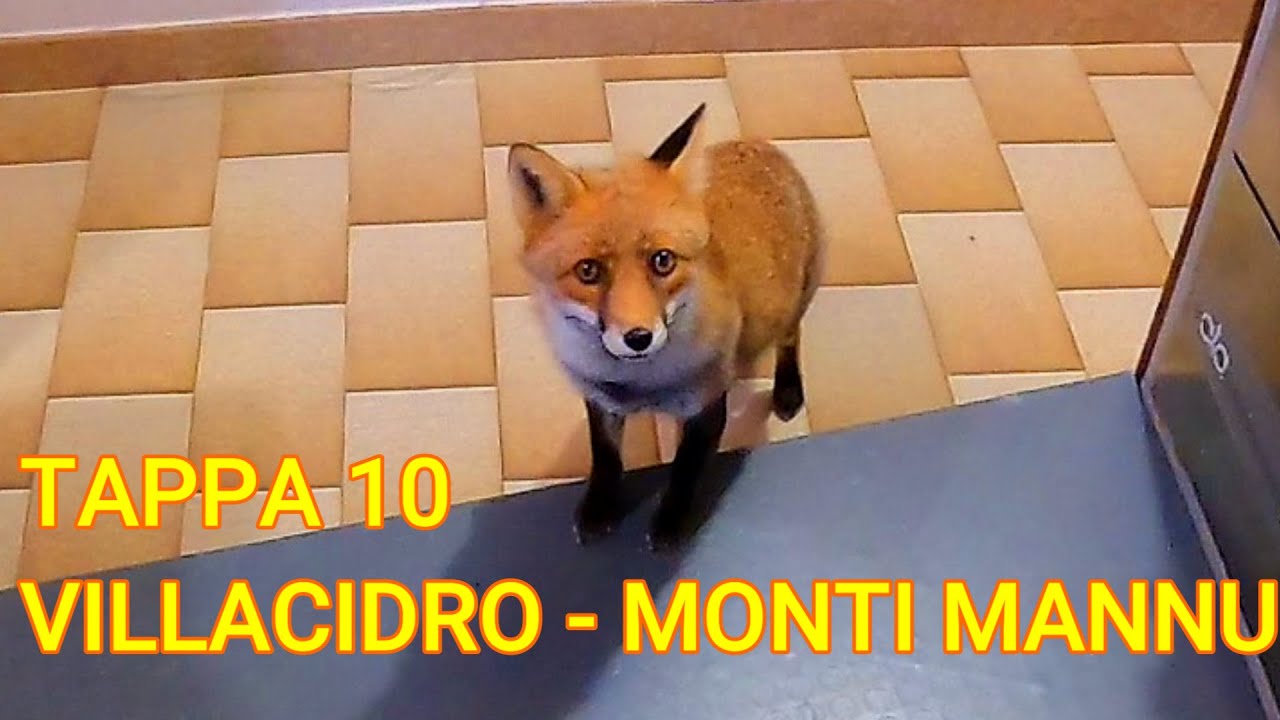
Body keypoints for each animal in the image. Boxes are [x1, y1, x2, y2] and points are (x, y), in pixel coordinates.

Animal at [506, 103, 824, 551]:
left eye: (663, 261)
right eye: (589, 271)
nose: (638, 338)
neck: (641, 385)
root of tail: (758, 146)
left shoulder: (706, 403)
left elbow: (686, 469)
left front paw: (672, 522)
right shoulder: (600, 399)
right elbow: (606, 457)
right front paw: (600, 508)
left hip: (798, 297)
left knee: (790, 337)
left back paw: (788, 388)